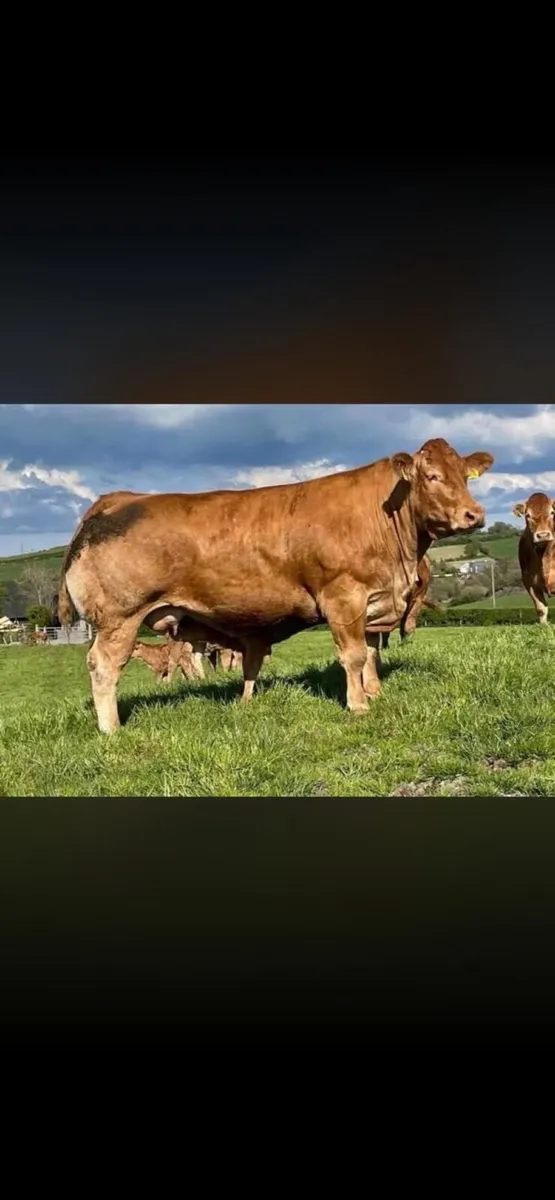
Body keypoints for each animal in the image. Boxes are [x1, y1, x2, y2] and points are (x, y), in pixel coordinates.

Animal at [57, 437, 493, 733]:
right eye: (432, 476)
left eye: (464, 476)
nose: (473, 514)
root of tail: (116, 499)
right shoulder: (343, 598)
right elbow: (352, 656)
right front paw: (358, 706)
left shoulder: (373, 602)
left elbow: (370, 653)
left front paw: (375, 693)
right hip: (120, 618)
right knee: (104, 665)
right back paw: (111, 728)